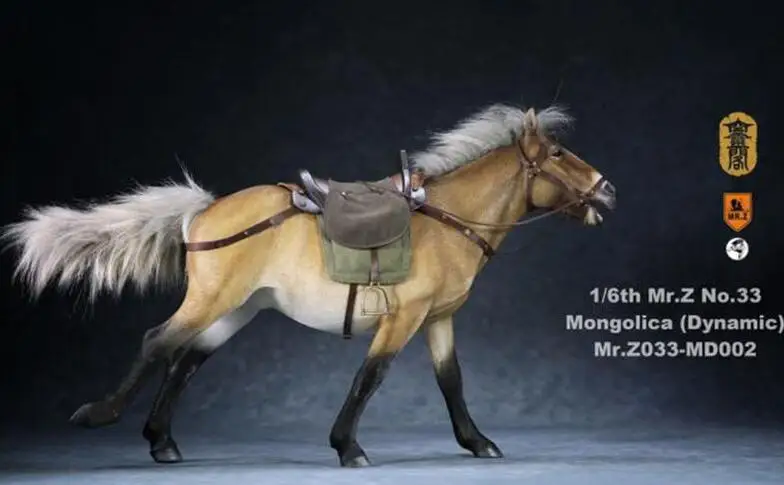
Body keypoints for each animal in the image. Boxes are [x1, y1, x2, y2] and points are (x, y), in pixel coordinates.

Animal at [2, 103, 616, 467]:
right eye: (558, 154)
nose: (606, 189)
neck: (445, 219)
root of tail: (203, 212)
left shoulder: (438, 318)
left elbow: (451, 381)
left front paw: (477, 441)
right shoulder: (403, 317)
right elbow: (371, 376)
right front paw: (347, 446)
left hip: (239, 309)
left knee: (188, 359)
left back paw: (163, 441)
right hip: (212, 300)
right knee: (159, 342)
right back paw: (103, 415)